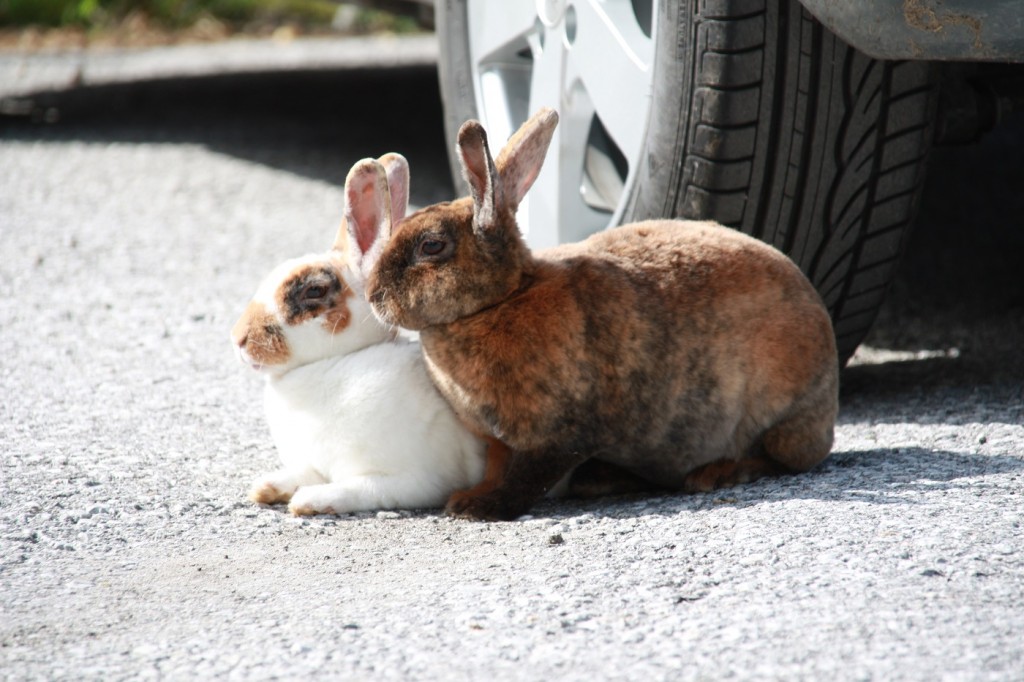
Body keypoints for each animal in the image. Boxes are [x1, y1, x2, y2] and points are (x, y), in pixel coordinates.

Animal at [230, 153, 485, 512]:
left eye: (315, 290)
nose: (239, 339)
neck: (332, 364)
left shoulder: (414, 481)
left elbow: (357, 489)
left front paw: (308, 500)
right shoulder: (315, 463)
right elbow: (306, 472)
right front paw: (268, 486)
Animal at [368, 107, 839, 520]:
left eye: (431, 245)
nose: (373, 294)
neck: (504, 298)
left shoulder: (561, 436)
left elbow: (526, 479)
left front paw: (480, 508)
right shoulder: (500, 443)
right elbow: (499, 468)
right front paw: (469, 498)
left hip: (783, 415)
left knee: (783, 458)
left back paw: (716, 474)